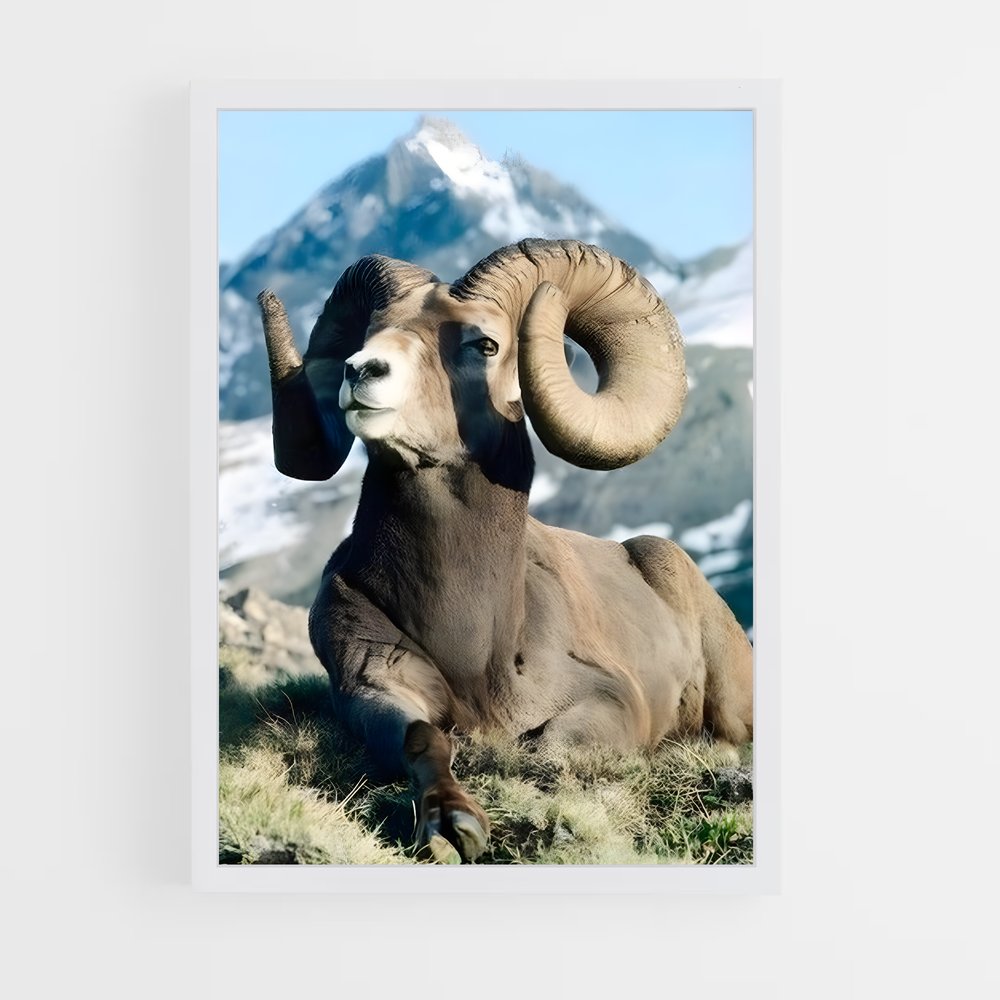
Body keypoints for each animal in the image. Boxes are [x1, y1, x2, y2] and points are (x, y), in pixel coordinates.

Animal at [258, 239, 753, 862]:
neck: (476, 643)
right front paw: (451, 825)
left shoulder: (610, 702)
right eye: (371, 332)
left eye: (485, 345)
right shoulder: (372, 687)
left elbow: (546, 748)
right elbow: (423, 739)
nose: (361, 370)